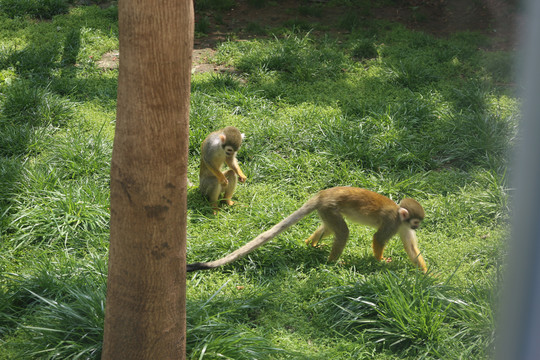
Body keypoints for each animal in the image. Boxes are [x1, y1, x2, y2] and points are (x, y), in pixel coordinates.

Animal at [188, 187, 428, 272]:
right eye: (416, 221)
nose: (418, 226)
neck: (400, 217)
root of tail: (324, 193)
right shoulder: (392, 223)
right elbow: (378, 238)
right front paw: (380, 261)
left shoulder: (402, 226)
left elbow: (411, 247)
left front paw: (425, 273)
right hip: (330, 207)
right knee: (343, 232)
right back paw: (332, 262)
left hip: (326, 210)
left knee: (330, 228)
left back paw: (311, 244)